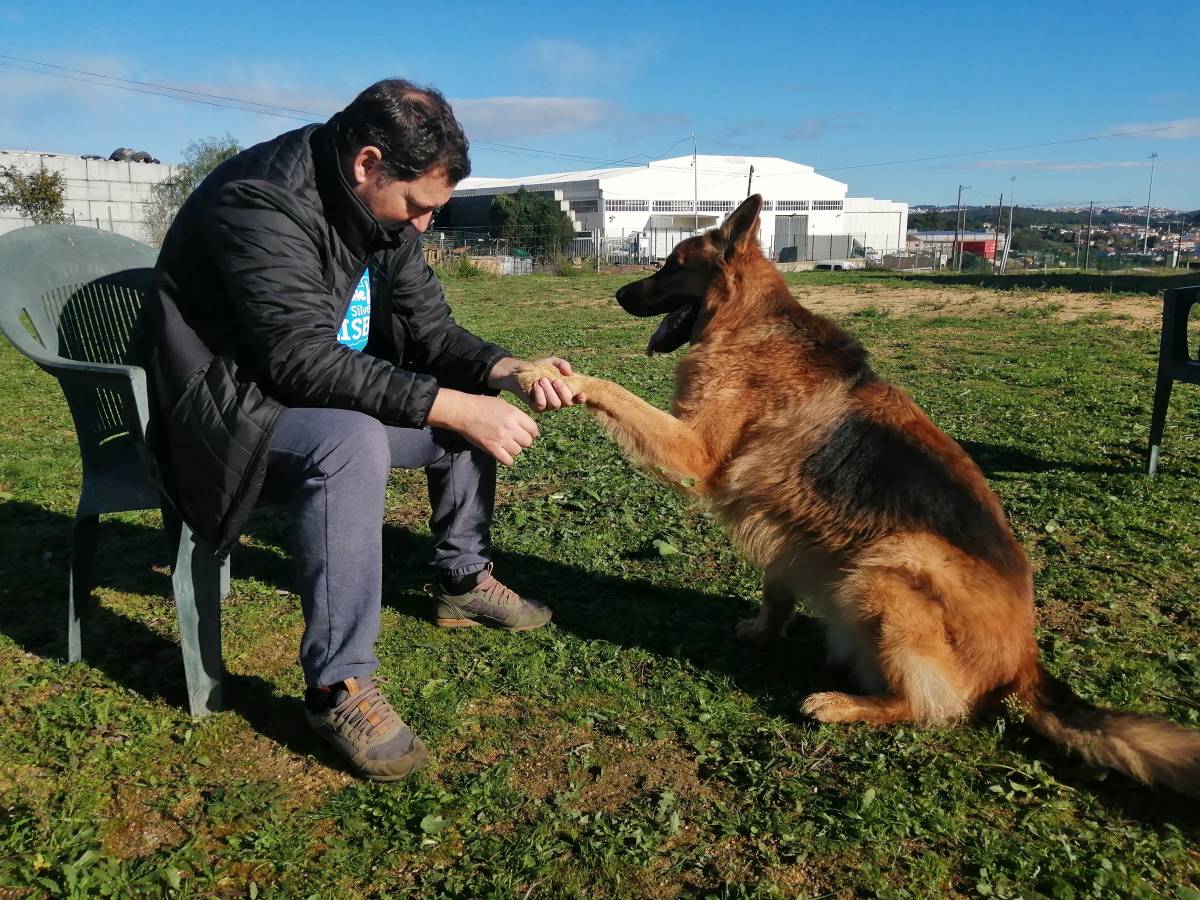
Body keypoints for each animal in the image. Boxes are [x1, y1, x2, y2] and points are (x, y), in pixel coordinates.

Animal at [523, 195, 1200, 796]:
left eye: (671, 266)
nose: (617, 295)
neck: (748, 322)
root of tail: (1025, 665)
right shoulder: (784, 523)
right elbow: (777, 587)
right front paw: (764, 632)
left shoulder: (696, 453)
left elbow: (614, 390)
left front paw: (552, 374)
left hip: (891, 565)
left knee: (934, 707)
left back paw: (843, 705)